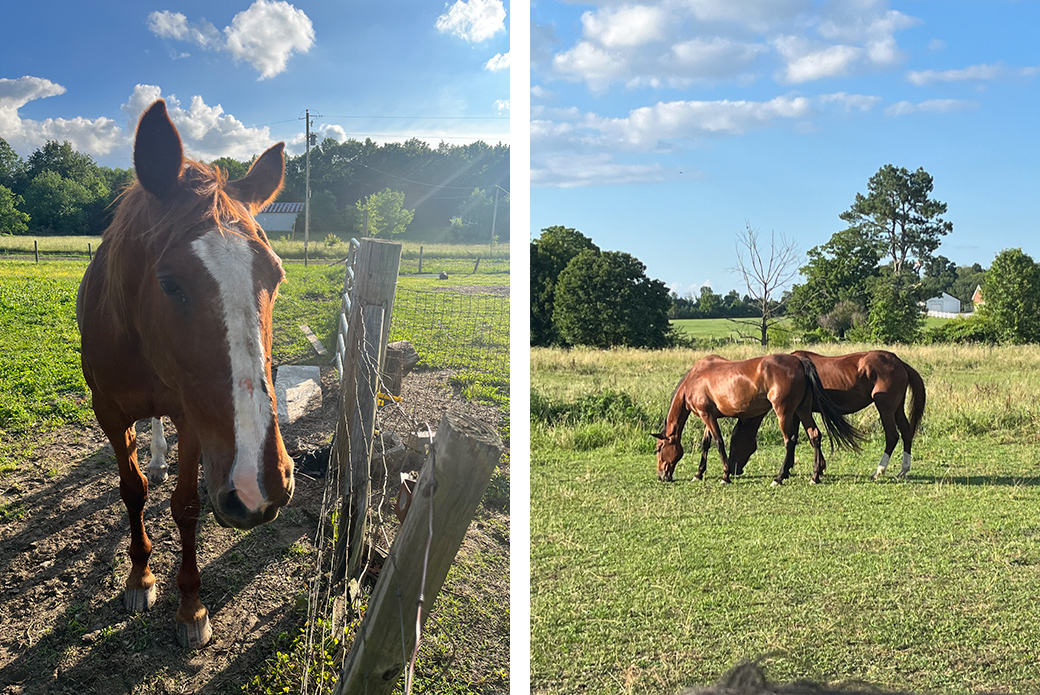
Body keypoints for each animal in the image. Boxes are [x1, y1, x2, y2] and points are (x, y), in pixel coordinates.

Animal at [76, 100, 294, 648]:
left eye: (277, 275)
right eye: (170, 283)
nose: (259, 483)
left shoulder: (194, 420)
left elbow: (187, 505)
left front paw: (191, 607)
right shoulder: (109, 413)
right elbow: (132, 490)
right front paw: (140, 577)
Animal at [652, 354, 864, 485]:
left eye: (659, 449)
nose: (661, 476)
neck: (694, 380)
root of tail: (799, 361)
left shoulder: (707, 416)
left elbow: (718, 443)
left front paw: (725, 475)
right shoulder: (709, 417)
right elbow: (706, 444)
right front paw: (699, 473)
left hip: (784, 412)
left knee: (790, 441)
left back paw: (779, 477)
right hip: (802, 410)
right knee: (815, 436)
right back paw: (815, 476)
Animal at [725, 351, 926, 481]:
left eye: (734, 442)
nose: (733, 469)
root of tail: (899, 362)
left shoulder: (794, 412)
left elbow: (798, 437)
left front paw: (796, 470)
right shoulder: (799, 411)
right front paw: (816, 468)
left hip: (885, 408)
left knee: (892, 436)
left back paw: (879, 471)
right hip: (896, 408)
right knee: (907, 433)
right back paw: (903, 470)